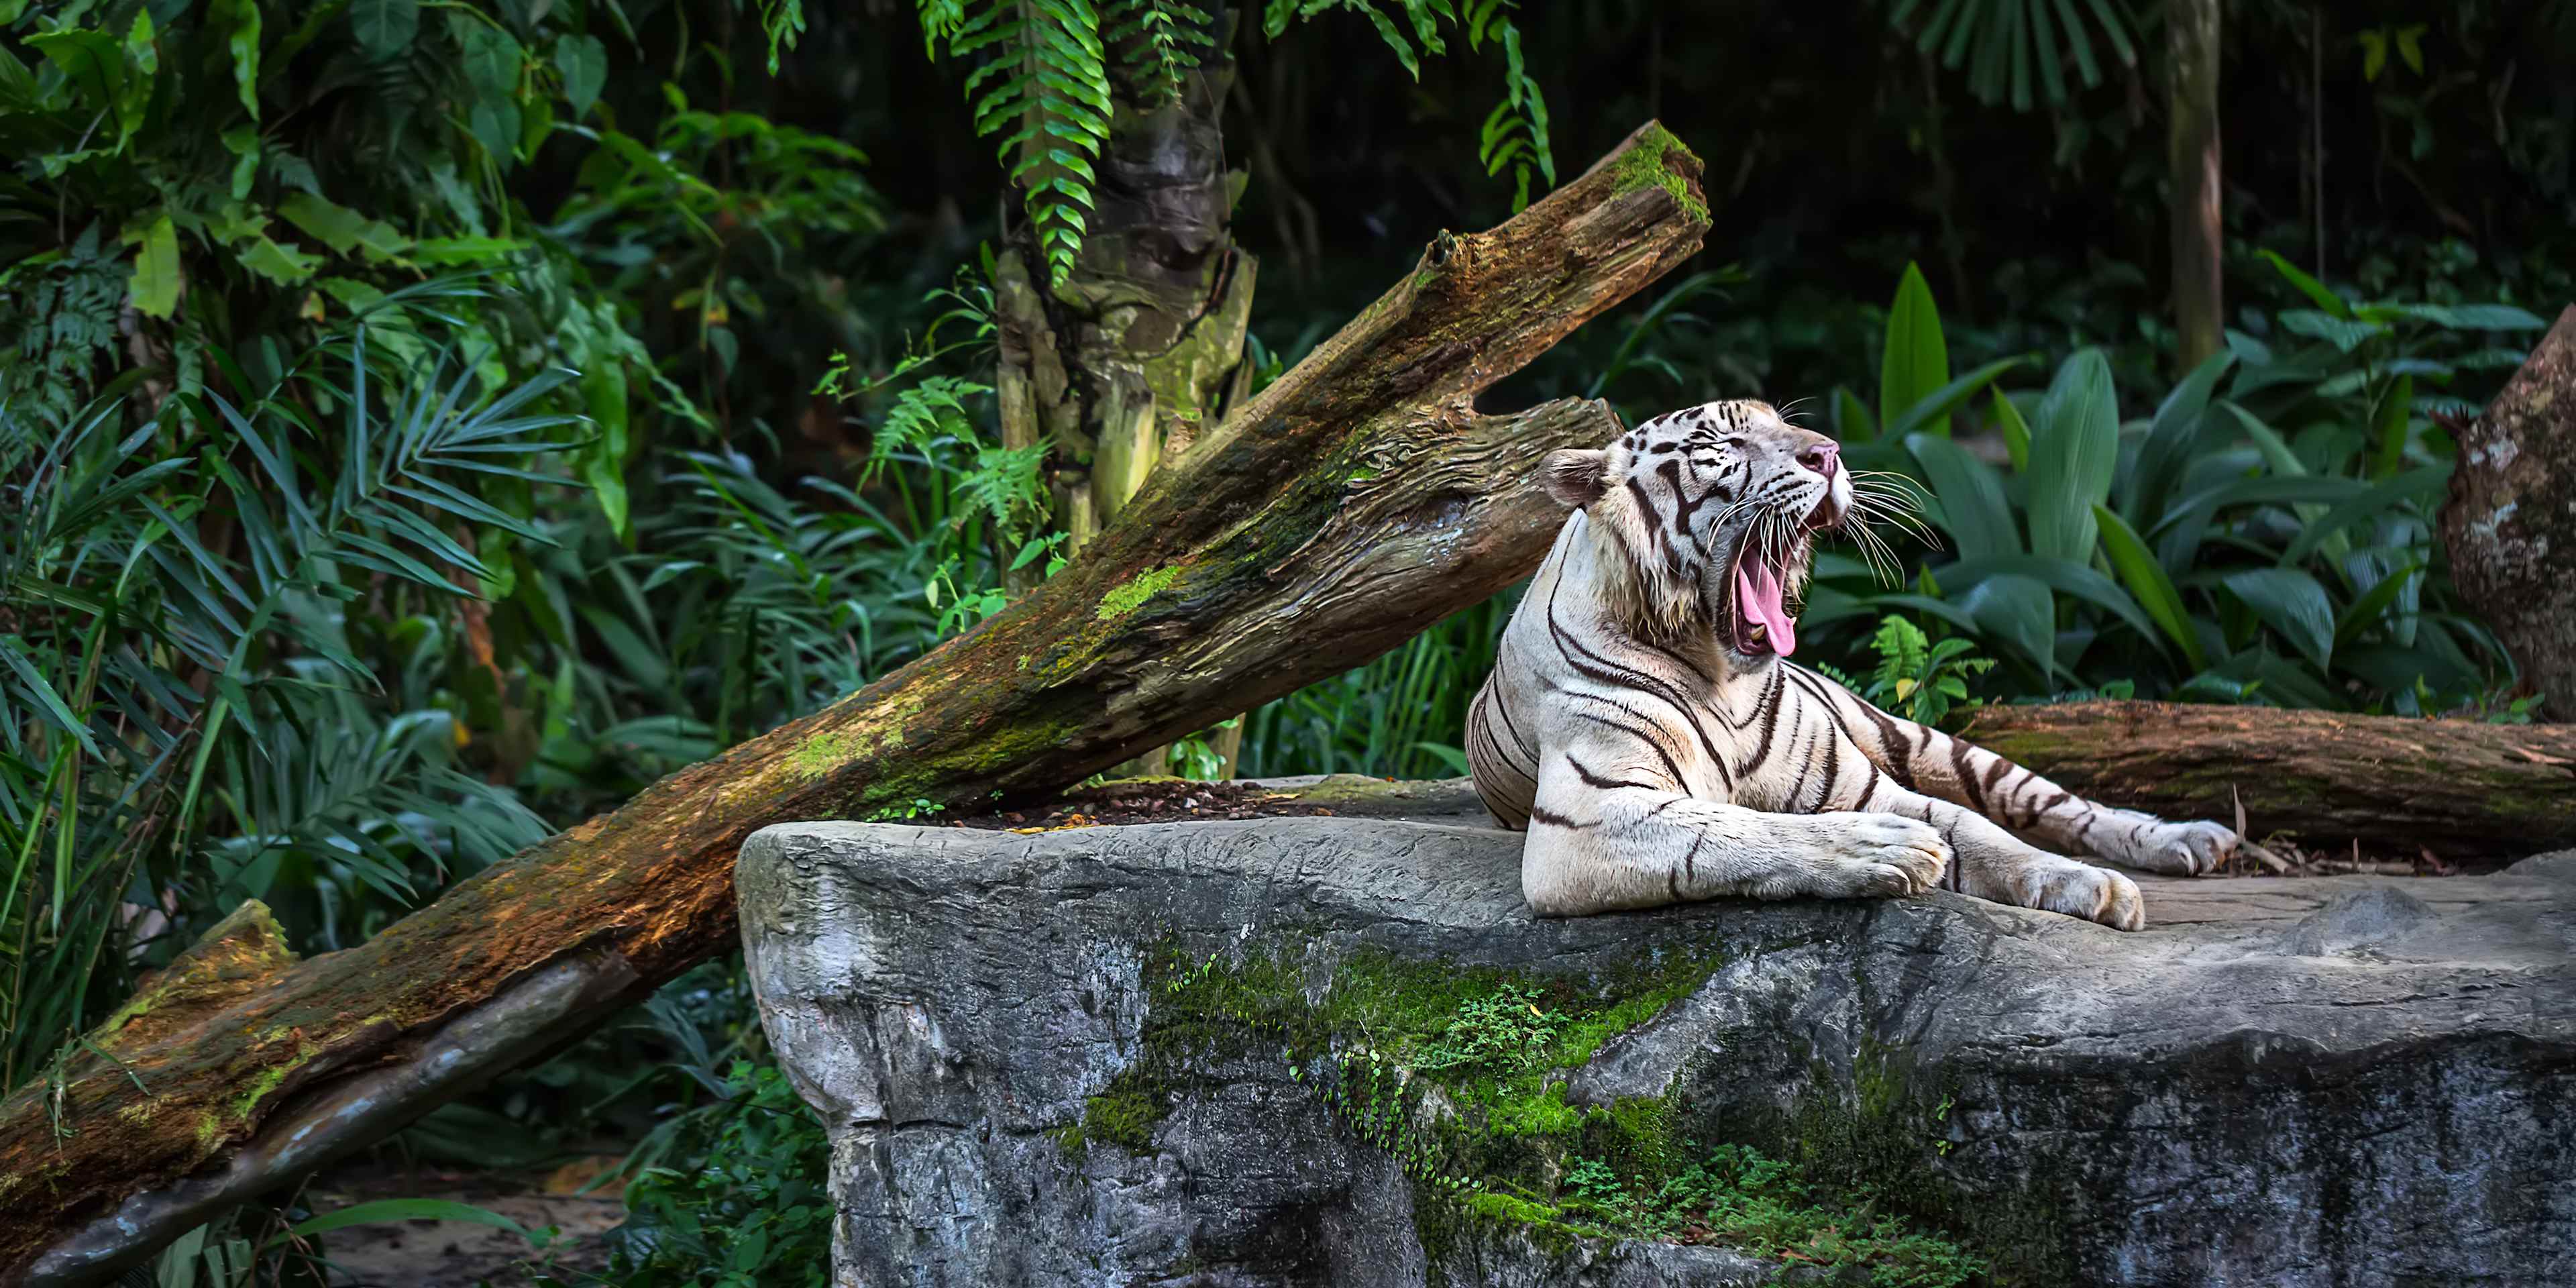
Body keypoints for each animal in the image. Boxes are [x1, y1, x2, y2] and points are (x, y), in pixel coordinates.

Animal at [1464, 399, 2245, 930]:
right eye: (1722, 442)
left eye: (1785, 423)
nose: (1830, 454)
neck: (1721, 674)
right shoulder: (1586, 819)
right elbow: (1742, 829)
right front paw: (1886, 851)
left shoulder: (1865, 783)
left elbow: (1983, 833)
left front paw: (2093, 885)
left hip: (1921, 739)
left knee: (2054, 804)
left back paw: (2189, 840)